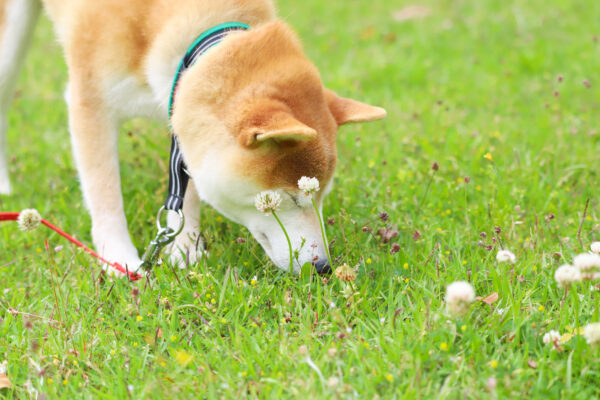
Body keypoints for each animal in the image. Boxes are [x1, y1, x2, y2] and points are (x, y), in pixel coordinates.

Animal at [0, 0, 384, 272]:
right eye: (284, 199)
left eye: (321, 198)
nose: (323, 267)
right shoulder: (90, 100)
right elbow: (104, 191)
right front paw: (119, 258)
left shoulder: (181, 109)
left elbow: (186, 192)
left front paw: (185, 248)